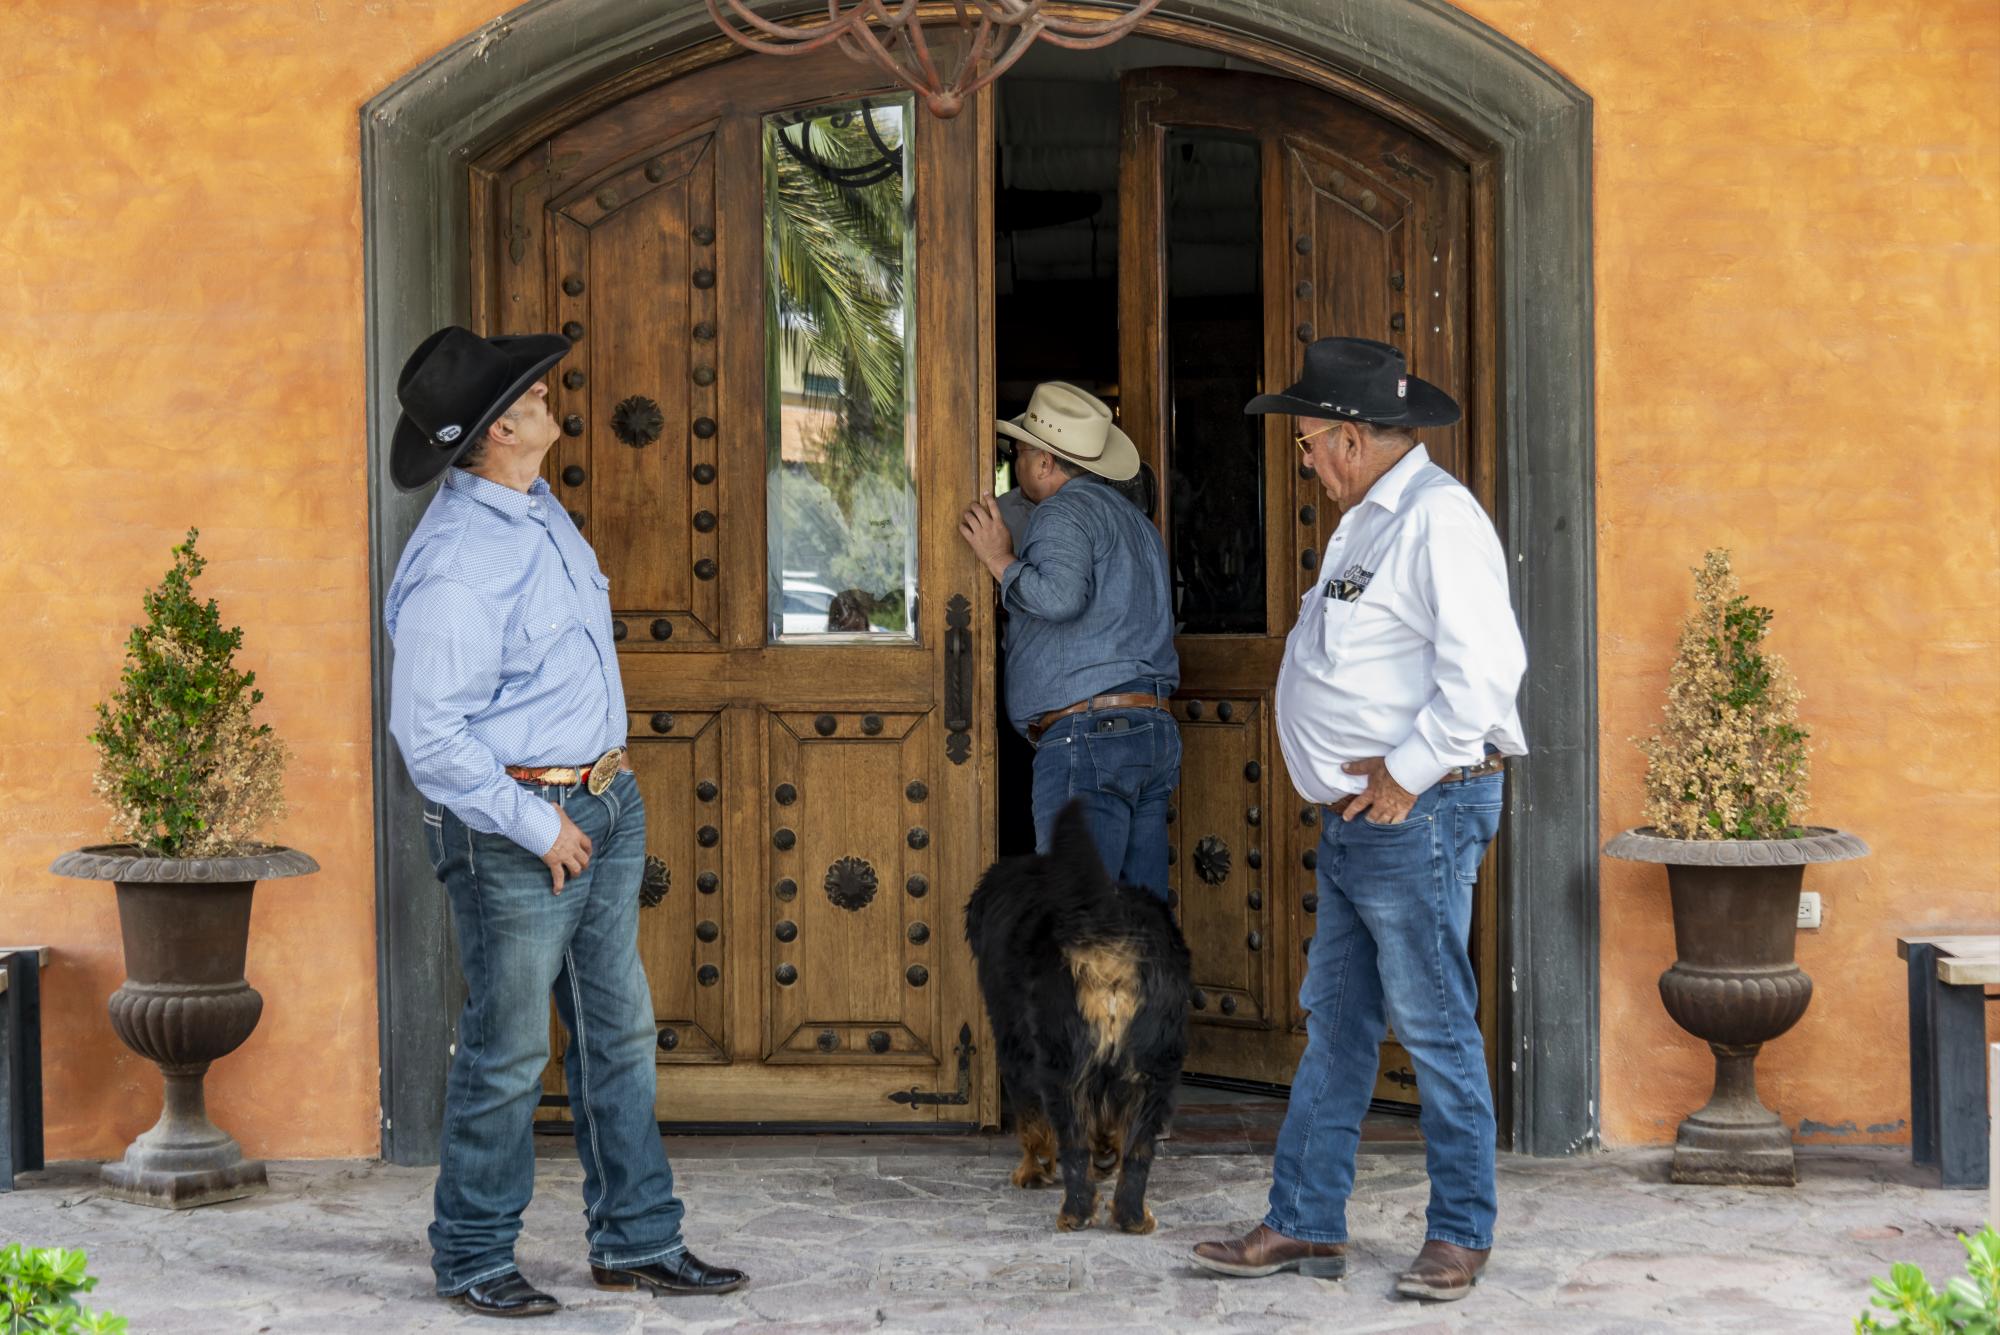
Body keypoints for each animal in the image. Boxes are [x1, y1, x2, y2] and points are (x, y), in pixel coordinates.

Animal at [964, 799, 1184, 1239]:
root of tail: (1109, 922)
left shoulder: (1012, 1043)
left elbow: (1031, 1119)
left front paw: (1034, 1171)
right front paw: (1106, 1153)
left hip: (1061, 1059)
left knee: (1072, 1142)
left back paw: (1076, 1210)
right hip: (1155, 1065)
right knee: (1138, 1151)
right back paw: (1132, 1215)